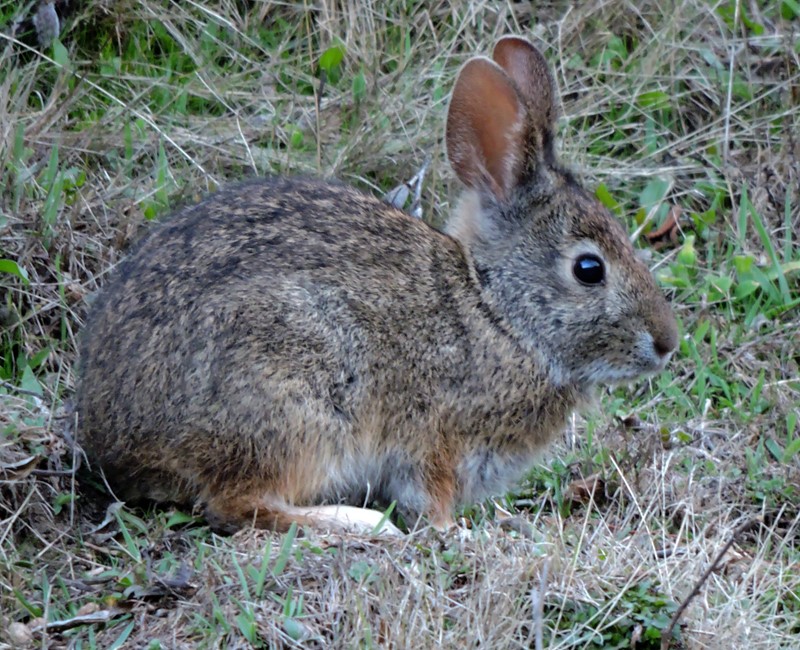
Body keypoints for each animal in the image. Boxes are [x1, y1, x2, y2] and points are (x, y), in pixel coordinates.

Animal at [76, 36, 678, 536]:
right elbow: (428, 497)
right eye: (589, 269)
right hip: (292, 398)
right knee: (236, 504)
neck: (495, 312)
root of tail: (113, 440)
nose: (667, 344)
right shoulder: (436, 441)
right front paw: (455, 533)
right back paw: (357, 522)